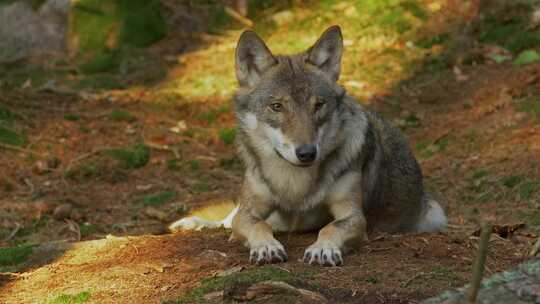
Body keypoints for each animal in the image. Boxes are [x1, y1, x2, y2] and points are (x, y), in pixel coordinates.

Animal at [170, 25, 448, 266]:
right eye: (277, 106)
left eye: (318, 105)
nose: (306, 153)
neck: (294, 183)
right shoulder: (249, 210)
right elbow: (257, 224)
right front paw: (266, 247)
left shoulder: (354, 215)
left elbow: (330, 228)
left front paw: (323, 249)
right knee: (226, 218)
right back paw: (190, 223)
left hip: (434, 214)